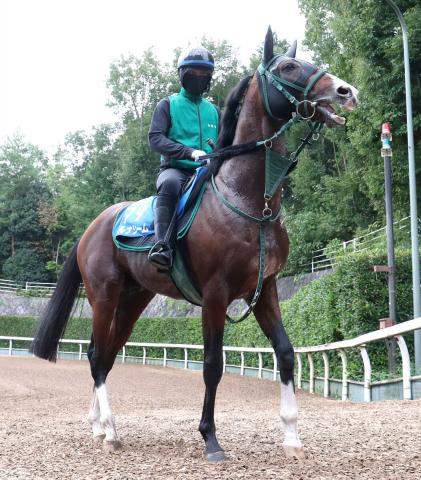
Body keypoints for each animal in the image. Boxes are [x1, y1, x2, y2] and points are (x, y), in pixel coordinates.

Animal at [30, 28, 358, 464]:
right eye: (289, 66)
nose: (346, 91)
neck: (247, 200)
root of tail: (94, 225)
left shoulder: (265, 289)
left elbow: (286, 352)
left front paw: (291, 436)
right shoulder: (216, 295)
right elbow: (212, 364)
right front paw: (210, 438)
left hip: (133, 300)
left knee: (104, 353)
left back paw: (97, 425)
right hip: (103, 295)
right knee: (99, 358)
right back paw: (111, 431)